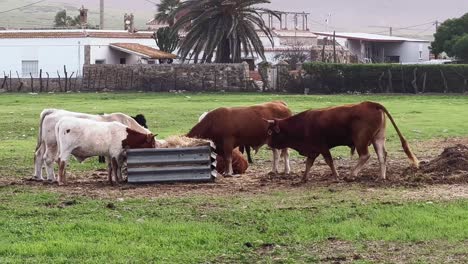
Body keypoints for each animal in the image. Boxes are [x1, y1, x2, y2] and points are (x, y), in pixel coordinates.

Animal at [266, 101, 418, 182]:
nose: (268, 144)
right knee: (382, 156)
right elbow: (309, 164)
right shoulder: (313, 150)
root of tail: (370, 104)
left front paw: (336, 176)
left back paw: (351, 174)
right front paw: (303, 178)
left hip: (360, 140)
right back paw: (381, 176)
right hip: (378, 138)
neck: (303, 124)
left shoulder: (322, 147)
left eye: (271, 132)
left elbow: (329, 161)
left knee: (365, 155)